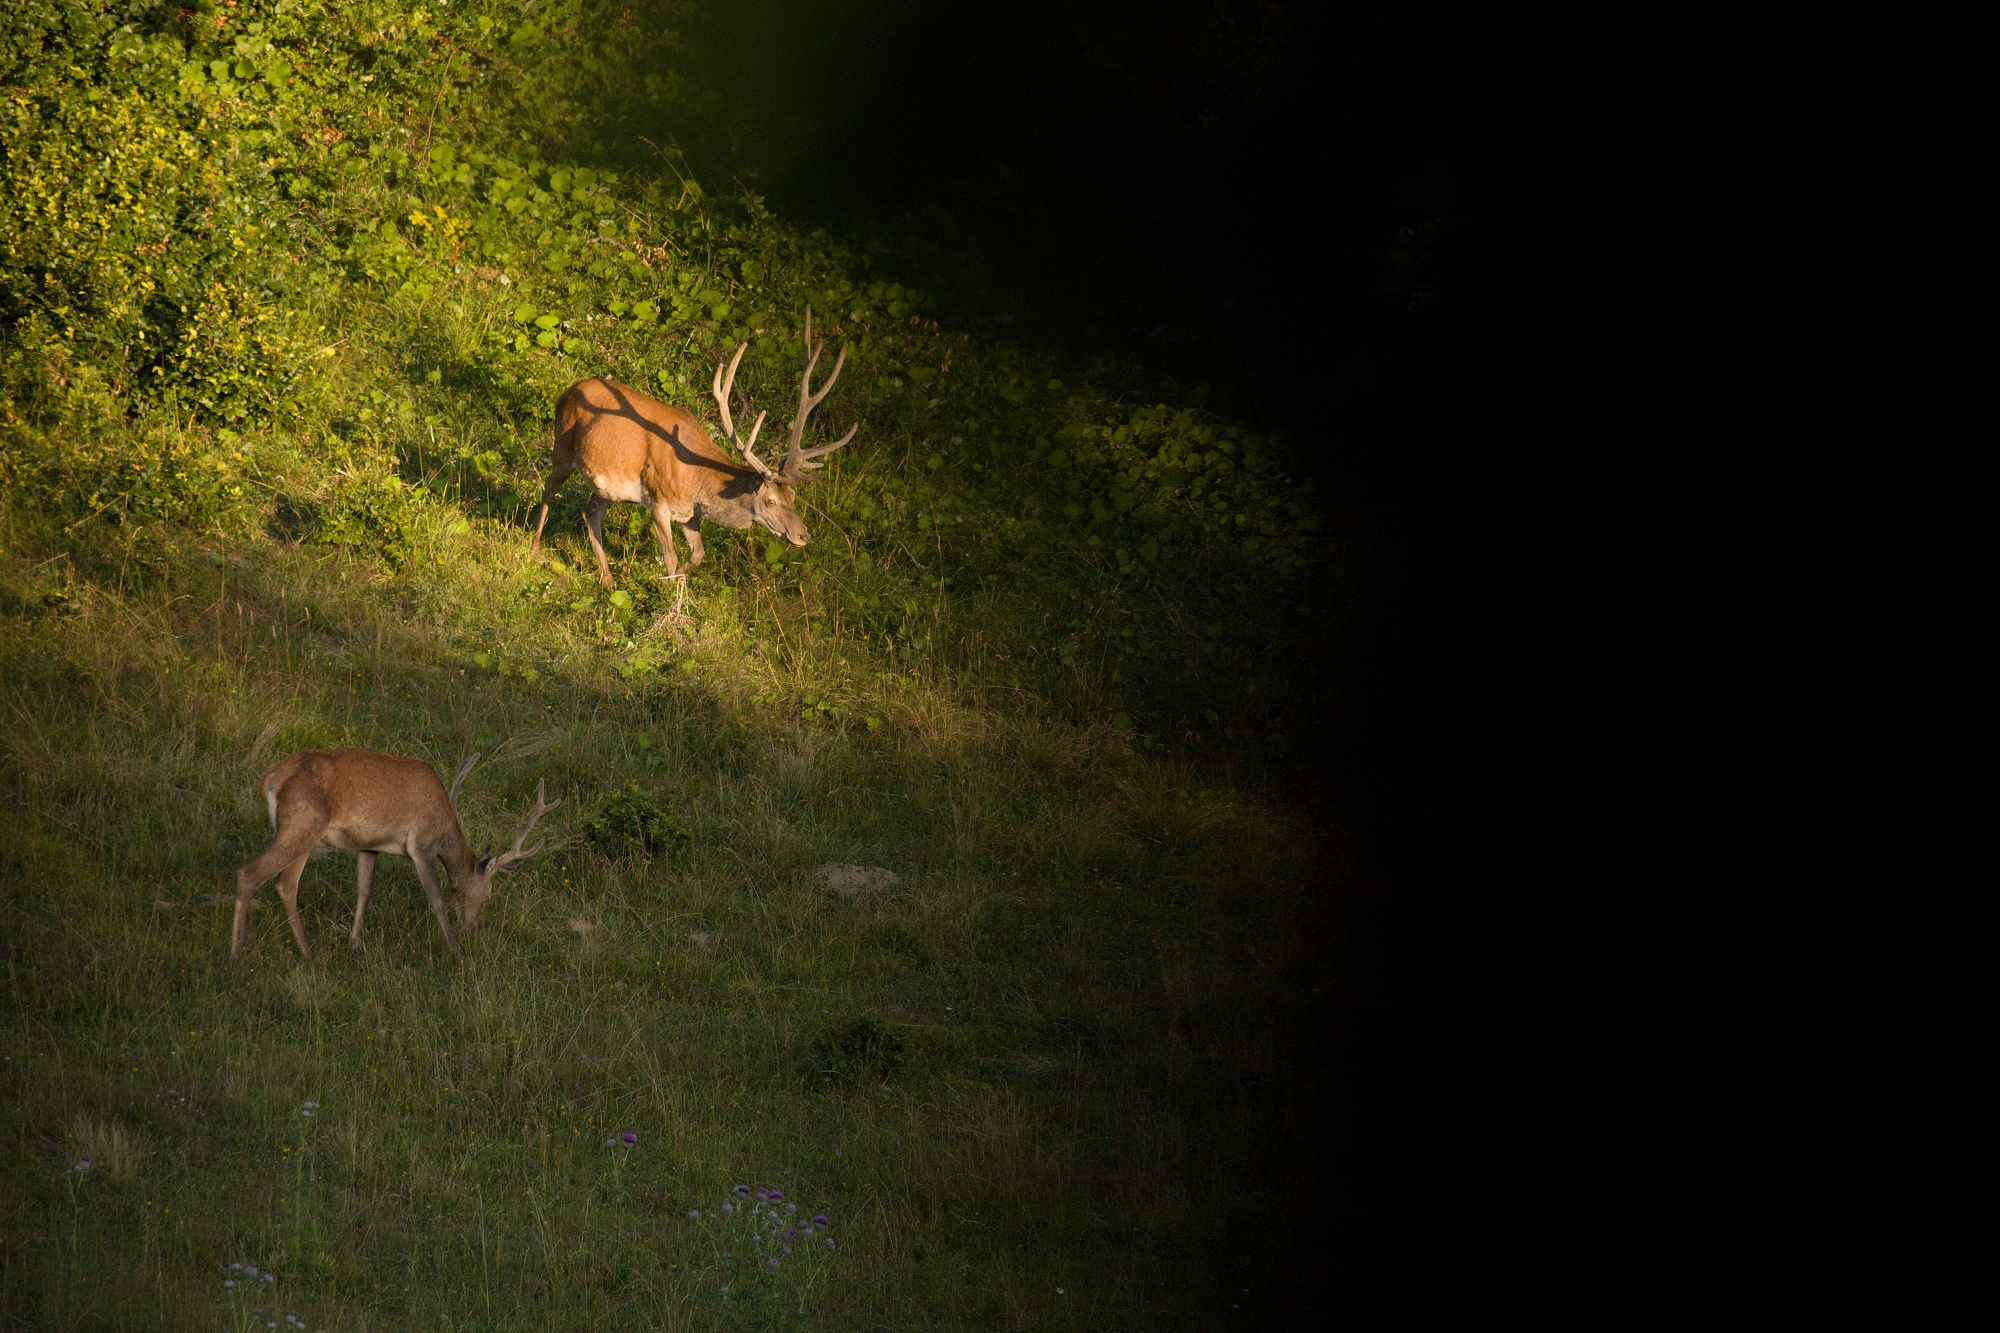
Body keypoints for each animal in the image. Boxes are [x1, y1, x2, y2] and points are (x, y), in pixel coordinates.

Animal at [238, 748, 560, 956]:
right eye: (489, 891)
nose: (473, 928)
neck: (444, 821)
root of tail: (270, 778)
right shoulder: (421, 845)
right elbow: (436, 899)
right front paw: (456, 950)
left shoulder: (369, 846)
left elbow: (364, 891)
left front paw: (355, 945)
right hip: (301, 826)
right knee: (251, 874)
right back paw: (241, 954)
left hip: (303, 834)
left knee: (284, 884)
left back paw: (306, 950)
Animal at [528, 312, 856, 588]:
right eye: (772, 500)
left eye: (794, 496)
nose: (804, 535)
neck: (696, 479)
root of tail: (567, 391)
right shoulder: (657, 500)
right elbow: (671, 556)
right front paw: (669, 594)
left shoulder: (690, 513)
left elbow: (697, 554)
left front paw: (676, 581)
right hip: (562, 449)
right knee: (548, 489)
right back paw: (534, 550)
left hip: (606, 484)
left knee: (591, 513)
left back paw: (607, 579)